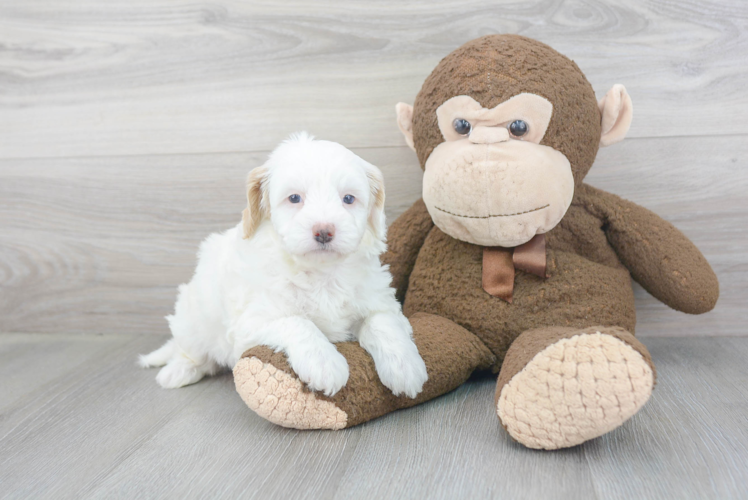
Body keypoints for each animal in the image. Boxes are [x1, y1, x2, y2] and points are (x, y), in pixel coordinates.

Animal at [141, 133, 430, 398]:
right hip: (193, 318)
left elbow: (383, 323)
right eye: (294, 198)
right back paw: (178, 371)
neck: (320, 273)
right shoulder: (251, 323)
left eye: (348, 199)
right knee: (191, 351)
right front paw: (325, 364)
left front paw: (405, 367)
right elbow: (297, 323)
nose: (324, 231)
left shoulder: (378, 300)